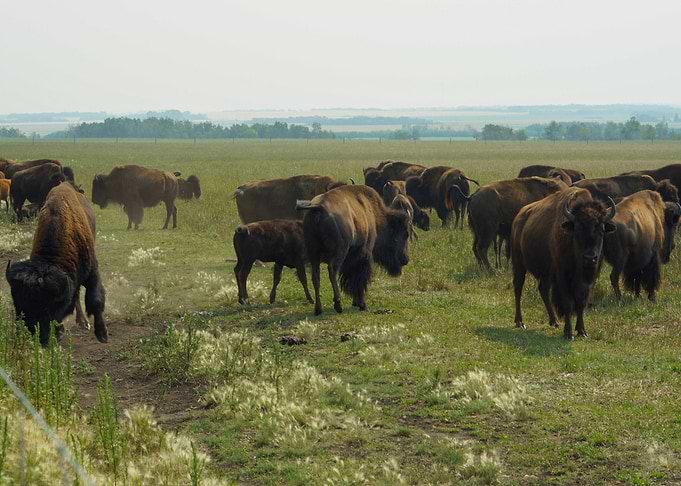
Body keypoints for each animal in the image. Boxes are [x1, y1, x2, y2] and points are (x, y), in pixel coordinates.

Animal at [6, 183, 108, 346]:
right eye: (17, 303)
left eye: (48, 307)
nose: (34, 337)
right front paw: (60, 332)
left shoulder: (93, 273)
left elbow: (95, 300)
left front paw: (102, 335)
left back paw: (84, 323)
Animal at [297, 185, 411, 315]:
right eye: (405, 234)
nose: (405, 259)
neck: (375, 215)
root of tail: (319, 207)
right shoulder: (364, 254)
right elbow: (359, 279)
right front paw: (362, 304)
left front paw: (355, 302)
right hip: (339, 253)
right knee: (332, 272)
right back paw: (338, 304)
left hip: (313, 255)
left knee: (316, 277)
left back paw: (318, 309)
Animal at [511, 187, 616, 339]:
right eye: (577, 229)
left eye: (601, 230)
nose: (589, 258)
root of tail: (519, 216)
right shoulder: (562, 276)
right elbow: (568, 303)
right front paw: (568, 332)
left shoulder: (588, 279)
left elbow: (581, 302)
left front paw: (582, 331)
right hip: (519, 264)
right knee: (518, 288)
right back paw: (520, 322)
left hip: (546, 273)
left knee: (543, 289)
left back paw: (554, 321)